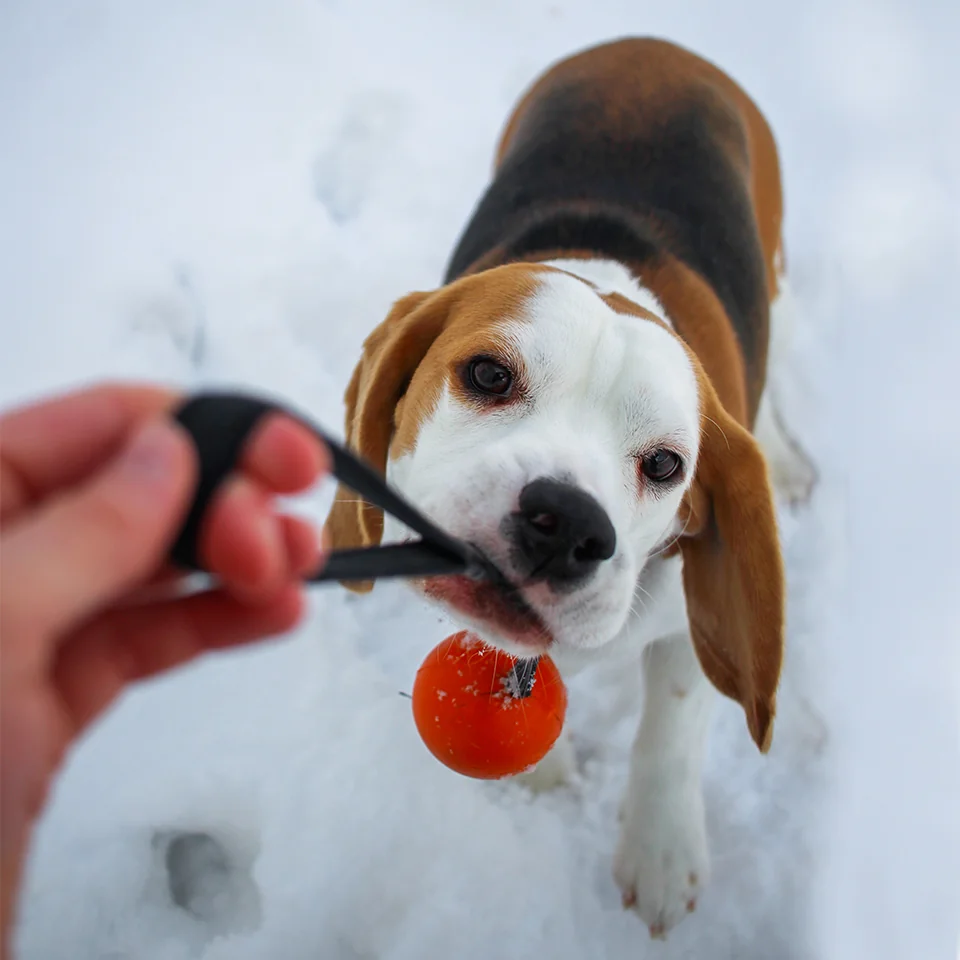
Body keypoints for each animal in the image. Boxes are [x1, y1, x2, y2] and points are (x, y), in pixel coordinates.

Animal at [326, 37, 812, 936]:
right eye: (487, 374)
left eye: (666, 465)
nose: (565, 523)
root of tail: (655, 45)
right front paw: (541, 778)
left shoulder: (685, 620)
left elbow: (675, 716)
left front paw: (661, 849)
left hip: (779, 274)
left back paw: (788, 456)